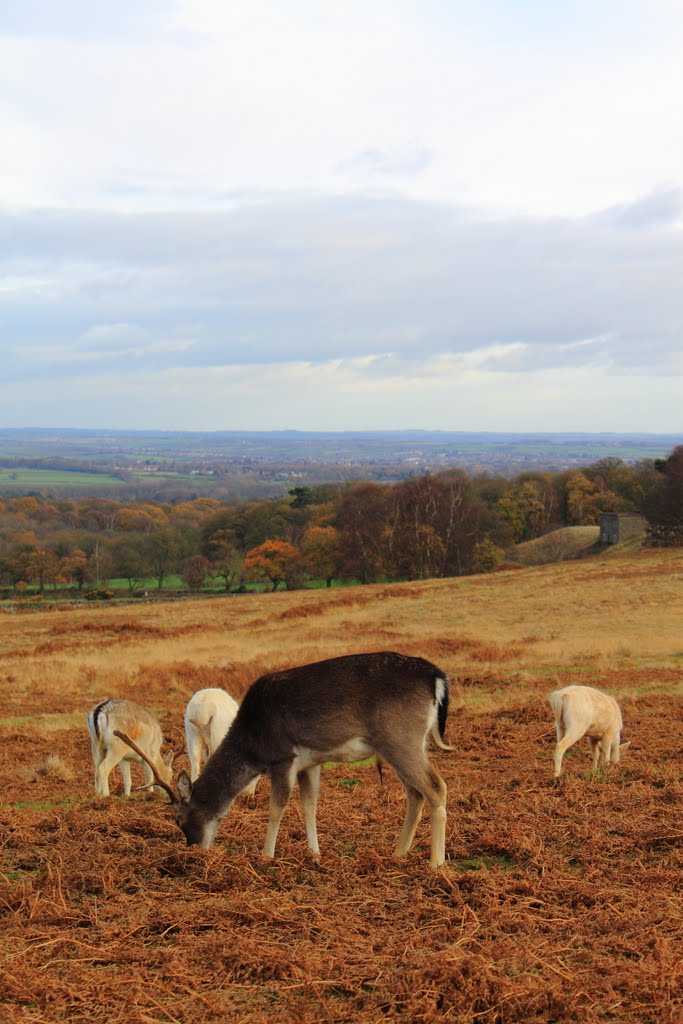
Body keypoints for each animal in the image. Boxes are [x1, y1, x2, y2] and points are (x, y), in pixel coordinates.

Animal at [119, 651, 454, 868]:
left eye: (179, 819)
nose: (193, 852)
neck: (253, 743)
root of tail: (437, 678)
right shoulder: (311, 763)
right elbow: (309, 806)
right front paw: (315, 853)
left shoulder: (283, 758)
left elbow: (276, 809)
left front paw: (267, 856)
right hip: (405, 744)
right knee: (416, 793)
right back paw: (398, 854)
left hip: (400, 738)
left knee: (436, 787)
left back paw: (436, 865)